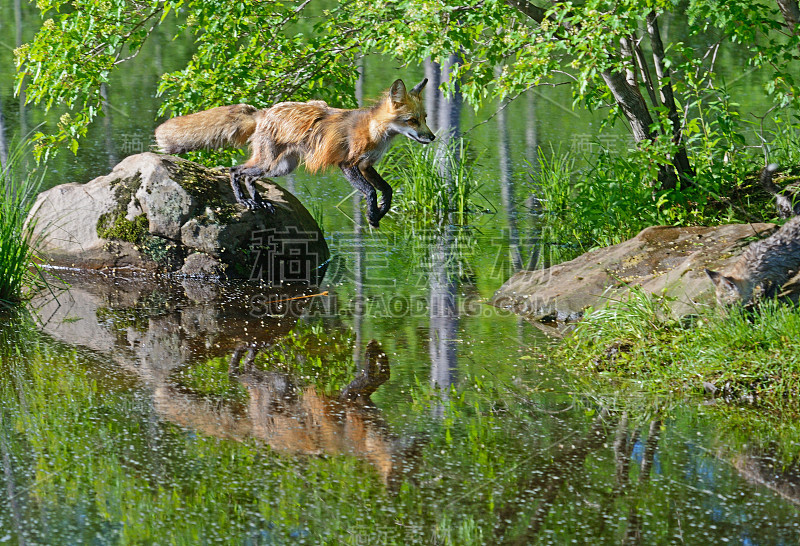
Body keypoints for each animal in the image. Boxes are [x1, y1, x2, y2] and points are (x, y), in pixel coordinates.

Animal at [154, 77, 434, 226]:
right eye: (412, 121)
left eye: (424, 118)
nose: (431, 137)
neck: (375, 132)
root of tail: (264, 111)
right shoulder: (348, 165)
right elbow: (371, 192)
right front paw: (373, 214)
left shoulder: (367, 165)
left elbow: (387, 189)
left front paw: (381, 212)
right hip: (269, 163)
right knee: (235, 170)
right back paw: (245, 200)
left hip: (281, 167)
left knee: (250, 177)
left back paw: (258, 201)